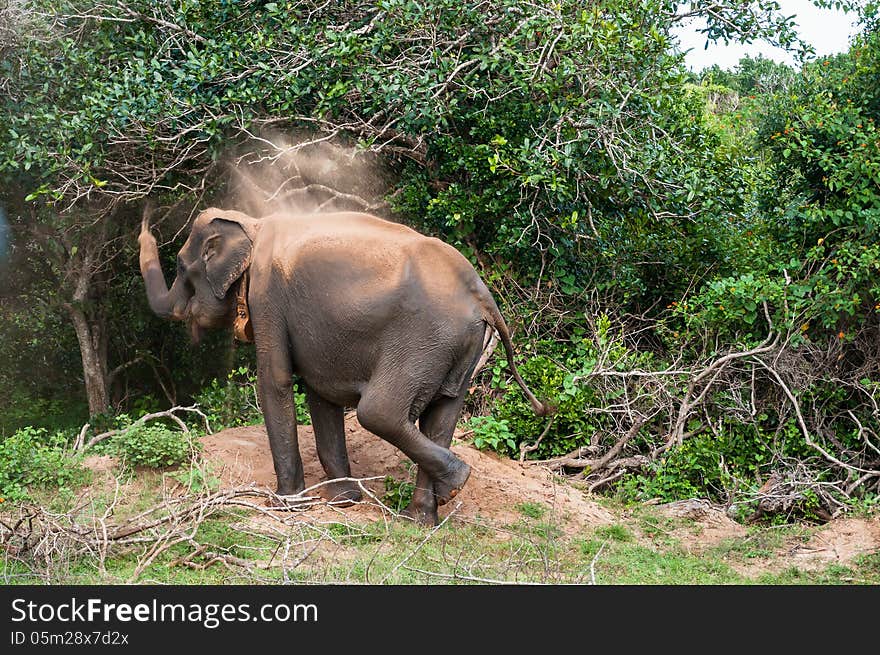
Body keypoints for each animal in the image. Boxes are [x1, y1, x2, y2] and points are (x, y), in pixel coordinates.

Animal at [138, 208, 548, 524]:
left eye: (181, 267)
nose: (145, 222)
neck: (251, 224)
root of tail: (482, 294)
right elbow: (321, 392)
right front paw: (344, 501)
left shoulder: (267, 296)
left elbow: (275, 380)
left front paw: (284, 504)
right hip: (458, 349)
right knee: (442, 417)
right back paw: (424, 516)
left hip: (423, 342)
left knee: (379, 412)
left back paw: (455, 482)